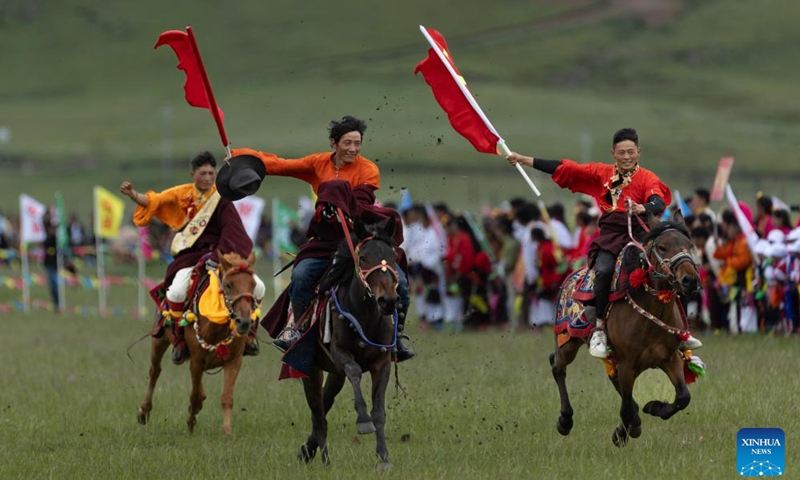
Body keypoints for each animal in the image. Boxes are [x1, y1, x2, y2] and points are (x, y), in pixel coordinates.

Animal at [136, 251, 258, 436]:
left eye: (253, 285)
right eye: (228, 285)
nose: (244, 322)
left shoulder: (234, 361)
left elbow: (226, 397)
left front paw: (227, 431)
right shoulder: (196, 361)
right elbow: (194, 396)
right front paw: (191, 426)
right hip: (159, 340)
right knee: (155, 371)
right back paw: (144, 411)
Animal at [294, 216, 400, 466]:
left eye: (393, 258)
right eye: (363, 258)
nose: (388, 301)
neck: (366, 317)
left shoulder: (382, 363)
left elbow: (379, 411)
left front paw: (384, 458)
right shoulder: (340, 353)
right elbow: (354, 371)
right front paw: (363, 420)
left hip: (334, 374)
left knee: (325, 402)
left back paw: (308, 450)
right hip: (311, 369)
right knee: (318, 413)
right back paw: (322, 459)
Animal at [552, 212, 700, 448]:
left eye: (689, 245)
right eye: (662, 247)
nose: (690, 280)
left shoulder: (670, 359)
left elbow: (682, 397)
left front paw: (653, 408)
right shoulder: (627, 365)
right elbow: (626, 408)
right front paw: (623, 432)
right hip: (567, 340)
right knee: (557, 366)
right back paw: (565, 420)